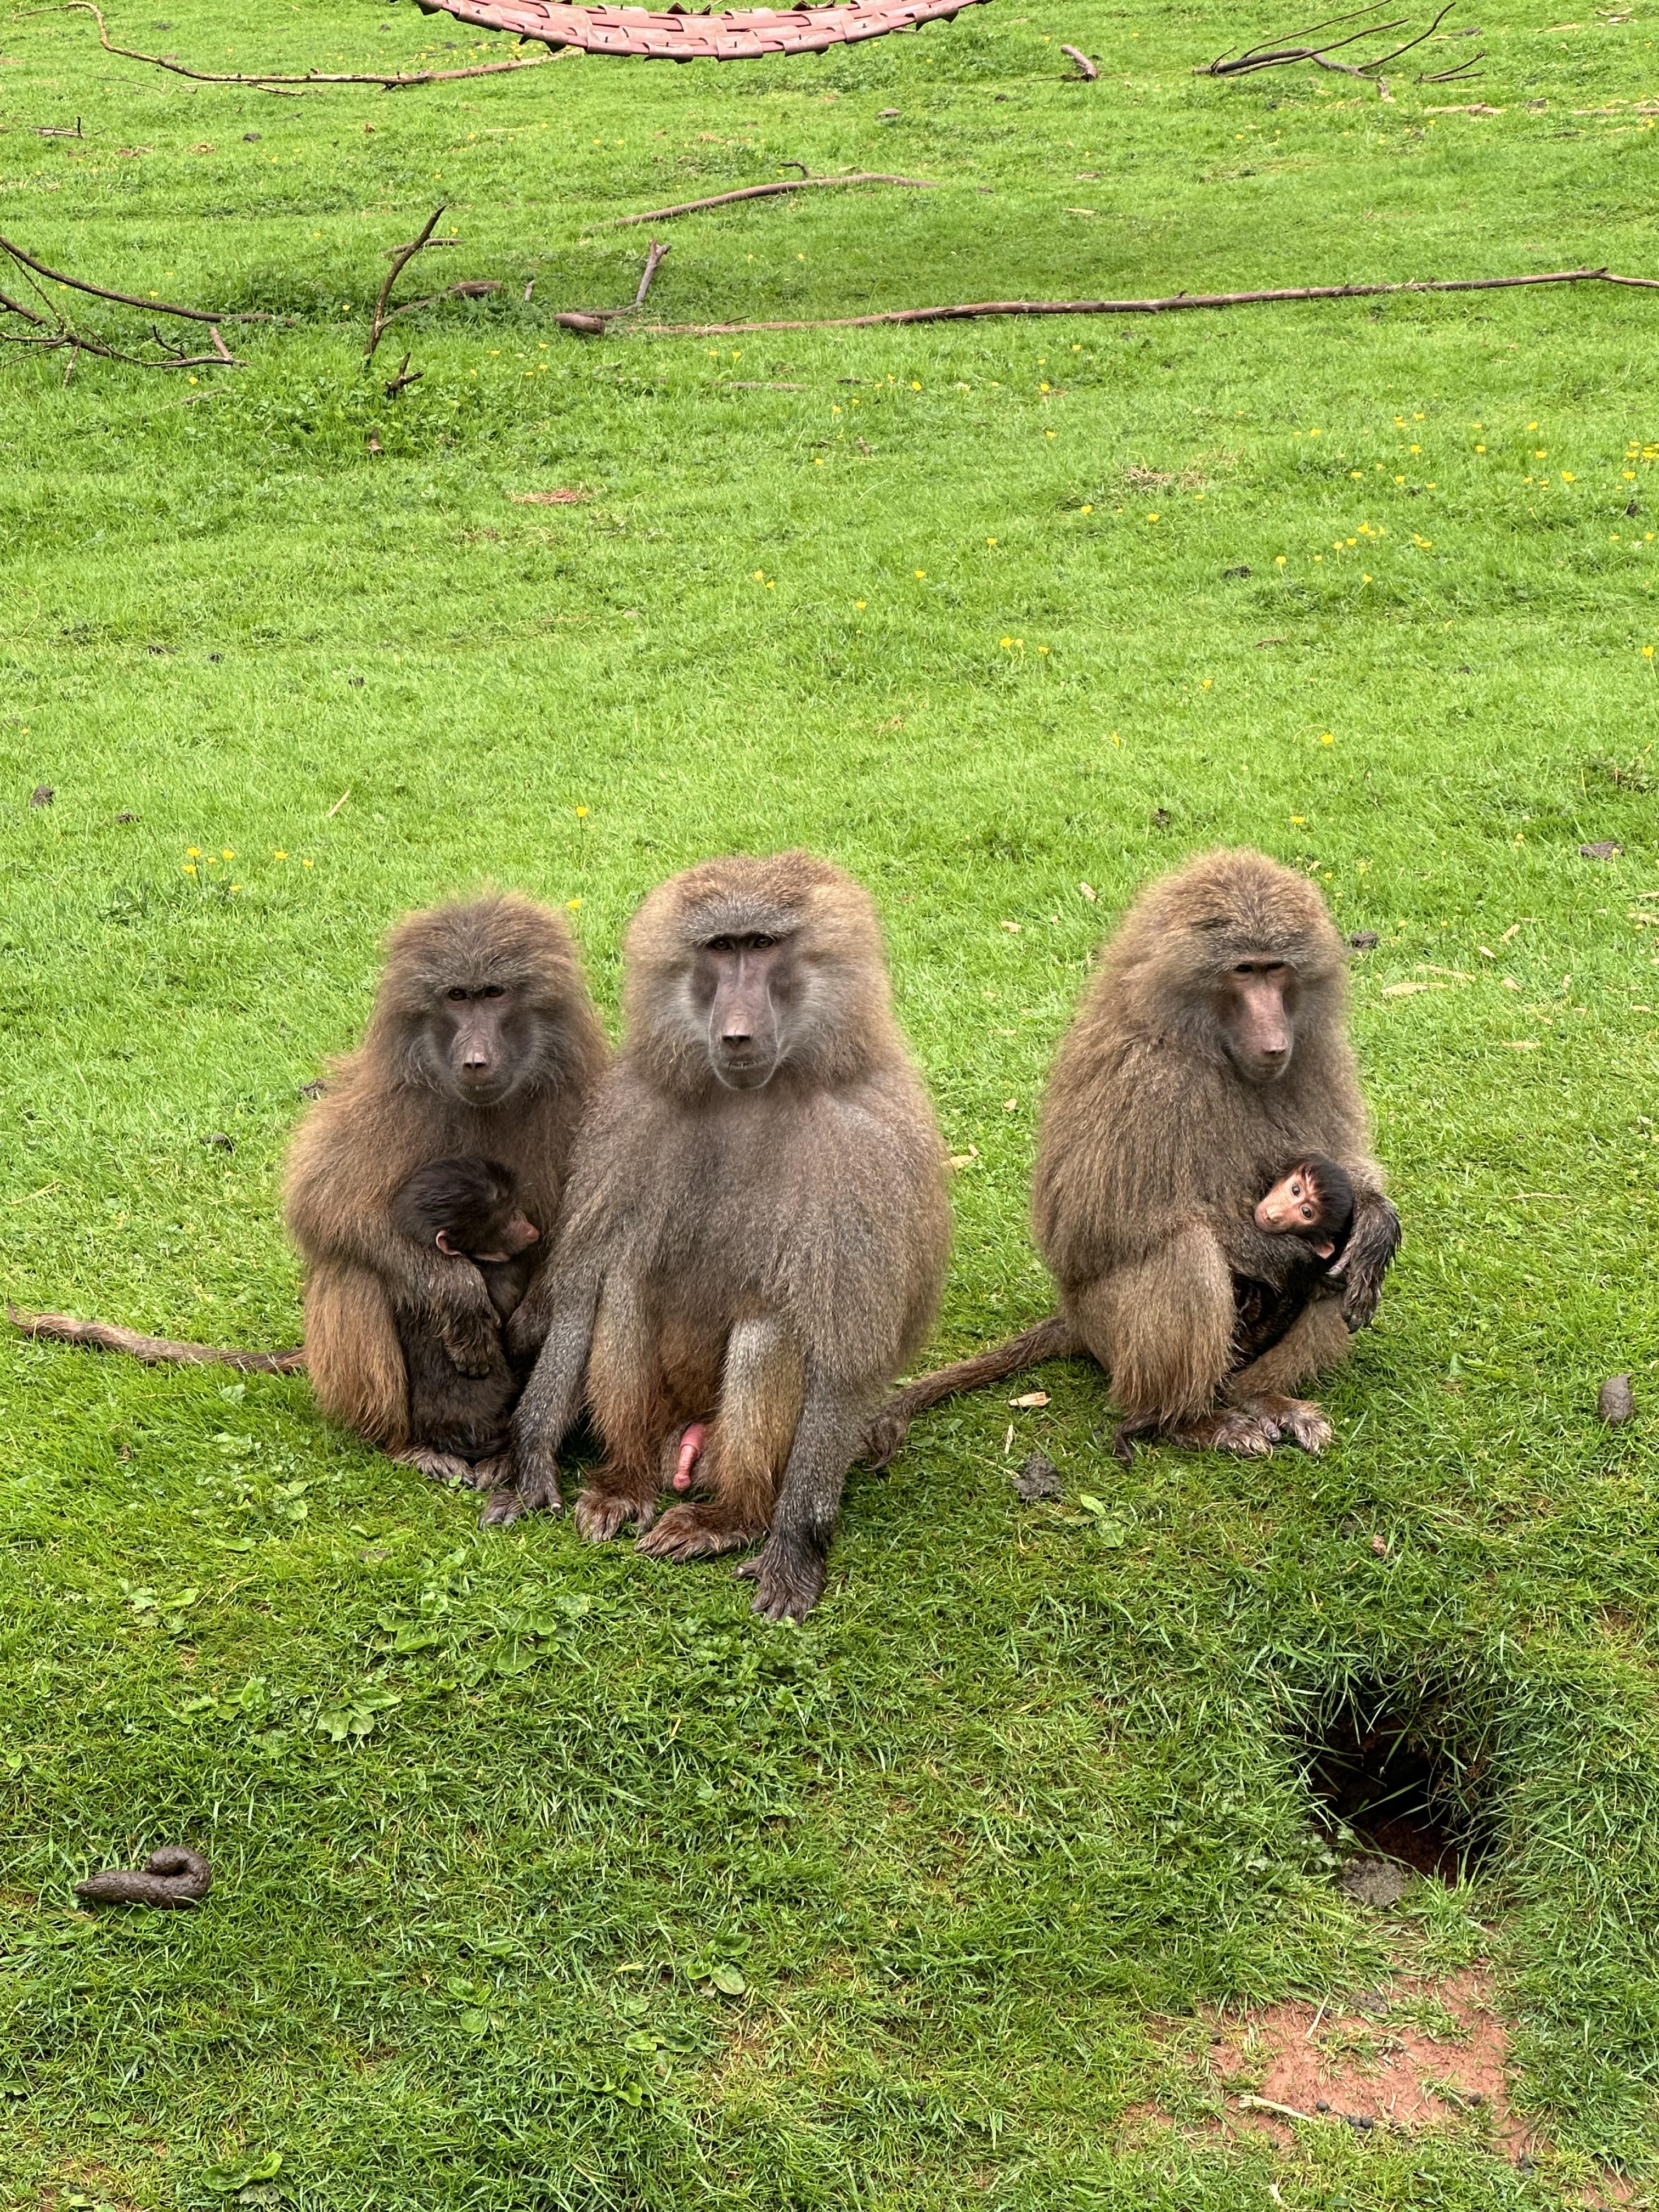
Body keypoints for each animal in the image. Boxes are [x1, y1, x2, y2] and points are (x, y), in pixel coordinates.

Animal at [489, 852, 952, 1624]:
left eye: (762, 946)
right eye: (720, 948)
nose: (735, 1036)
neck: (757, 1091)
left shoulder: (865, 1147)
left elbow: (844, 1356)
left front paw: (794, 1550)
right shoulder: (629, 1111)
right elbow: (583, 1290)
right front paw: (530, 1457)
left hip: (736, 1446)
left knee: (773, 1327)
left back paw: (731, 1518)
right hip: (666, 1413)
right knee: (626, 1286)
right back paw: (625, 1483)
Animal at [864, 849, 1400, 1468]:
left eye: (1278, 969)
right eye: (1244, 971)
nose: (1274, 1044)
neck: (1204, 1042)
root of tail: (1074, 1322)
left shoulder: (1318, 1052)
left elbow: (1343, 1186)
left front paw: (1376, 1223)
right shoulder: (1142, 1076)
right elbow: (1091, 1229)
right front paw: (1284, 1254)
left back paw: (1258, 1398)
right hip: (1109, 1332)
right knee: (1187, 1253)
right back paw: (1185, 1421)